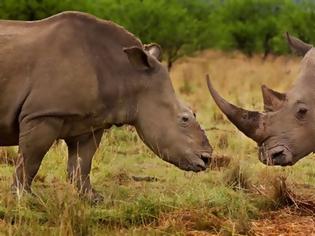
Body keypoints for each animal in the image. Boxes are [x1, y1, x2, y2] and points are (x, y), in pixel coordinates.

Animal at [0, 11, 214, 199]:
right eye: (184, 119)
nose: (207, 159)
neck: (128, 75)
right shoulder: (43, 114)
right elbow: (31, 159)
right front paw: (24, 197)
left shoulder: (89, 121)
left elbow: (82, 163)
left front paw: (93, 199)